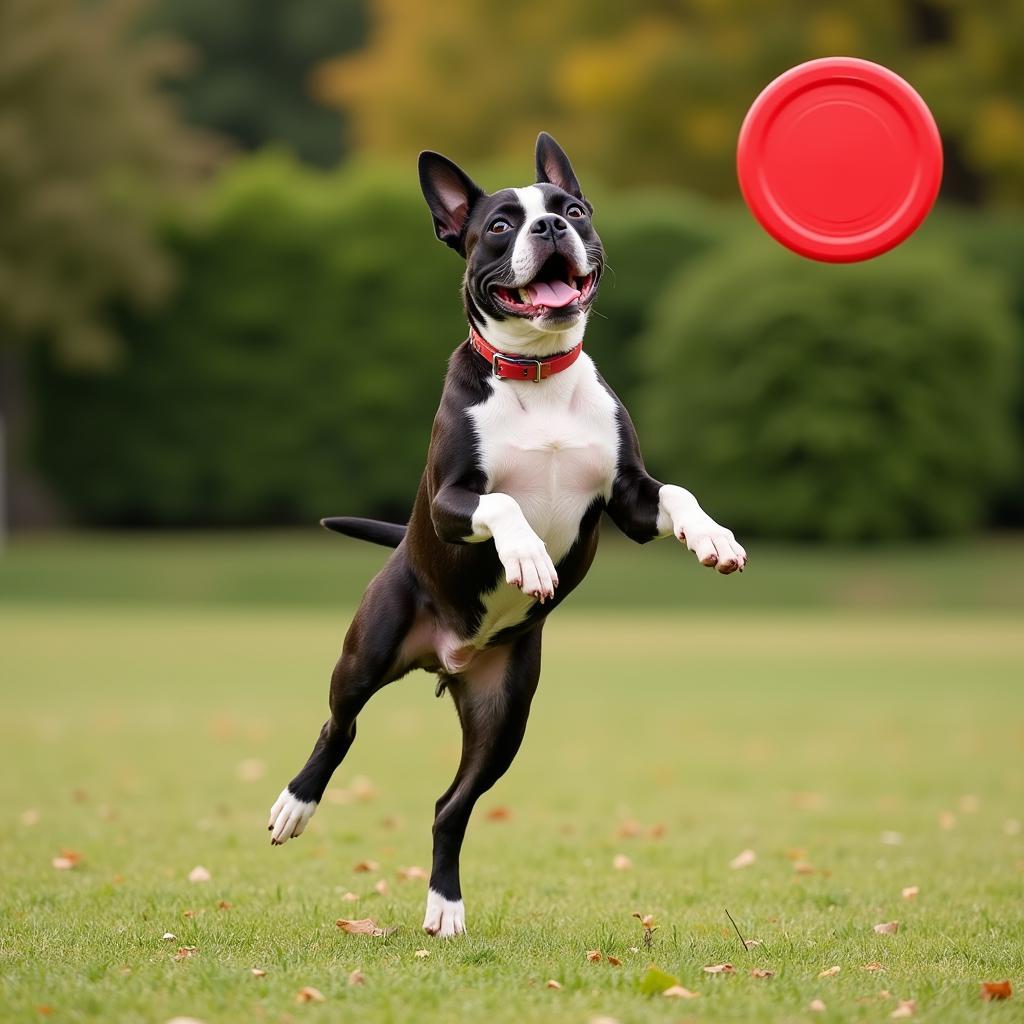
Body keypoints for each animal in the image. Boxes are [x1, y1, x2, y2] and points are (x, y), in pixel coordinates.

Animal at [266, 134, 745, 937]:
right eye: (498, 225)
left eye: (573, 210)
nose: (548, 229)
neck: (536, 371)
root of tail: (446, 658)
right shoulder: (450, 503)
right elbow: (504, 507)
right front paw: (526, 558)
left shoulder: (630, 500)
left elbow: (676, 492)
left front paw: (714, 539)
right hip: (369, 650)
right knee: (339, 729)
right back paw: (295, 804)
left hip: (503, 715)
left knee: (450, 806)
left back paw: (445, 908)